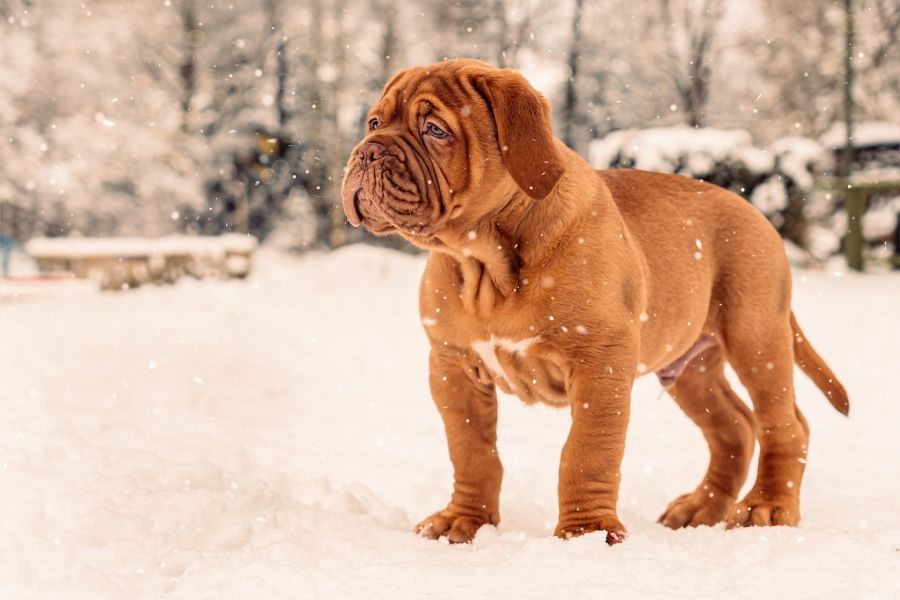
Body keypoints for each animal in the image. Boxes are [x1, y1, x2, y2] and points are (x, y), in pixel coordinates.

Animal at [342, 57, 848, 544]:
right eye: (373, 122)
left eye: (435, 130)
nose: (367, 150)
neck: (484, 261)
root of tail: (756, 214)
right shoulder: (453, 366)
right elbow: (471, 450)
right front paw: (464, 520)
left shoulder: (599, 361)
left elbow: (587, 451)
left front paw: (585, 534)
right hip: (690, 366)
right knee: (735, 427)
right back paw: (700, 508)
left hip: (756, 337)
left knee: (783, 423)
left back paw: (769, 507)